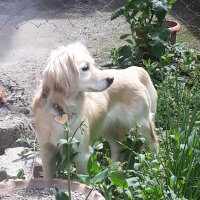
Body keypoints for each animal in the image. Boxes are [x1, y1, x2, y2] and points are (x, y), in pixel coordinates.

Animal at [32, 42, 158, 178]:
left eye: (93, 64)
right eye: (85, 67)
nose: (111, 79)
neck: (61, 109)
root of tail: (132, 71)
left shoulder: (82, 153)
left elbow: (82, 178)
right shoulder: (46, 151)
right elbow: (48, 177)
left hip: (141, 125)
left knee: (154, 144)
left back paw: (157, 168)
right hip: (109, 128)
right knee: (117, 148)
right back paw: (110, 172)